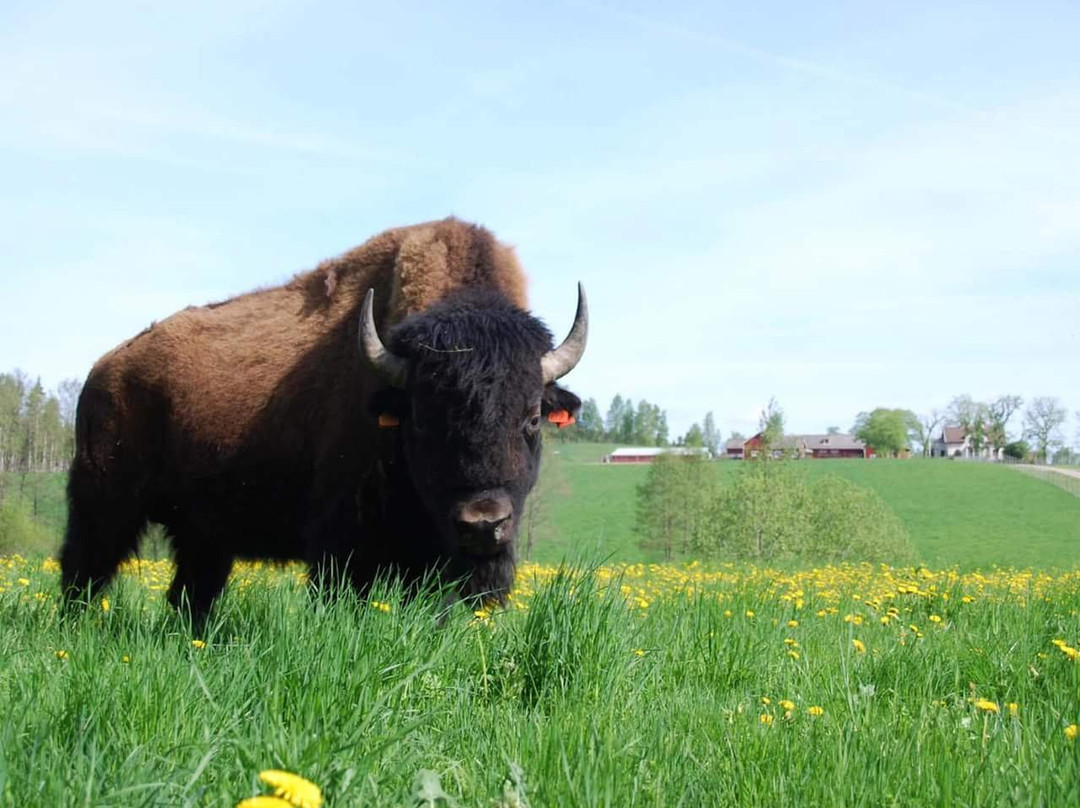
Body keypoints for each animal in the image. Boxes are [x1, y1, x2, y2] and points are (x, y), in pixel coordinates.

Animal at [60, 218, 587, 613]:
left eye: (532, 418)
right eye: (420, 418)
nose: (482, 523)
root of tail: (103, 370)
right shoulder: (341, 542)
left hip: (201, 532)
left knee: (191, 591)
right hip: (104, 504)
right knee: (82, 570)